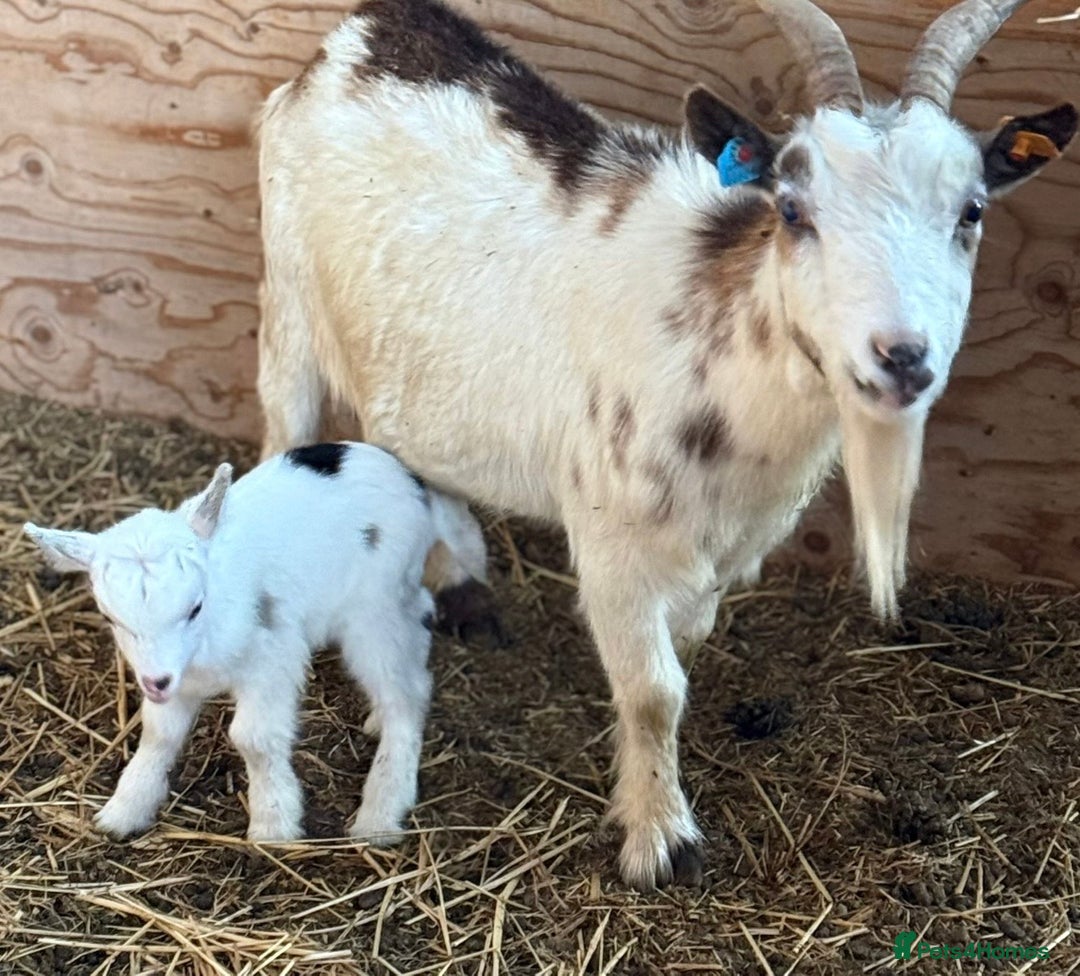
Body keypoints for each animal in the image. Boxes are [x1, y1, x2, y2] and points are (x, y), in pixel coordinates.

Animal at [24, 443, 486, 843]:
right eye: (110, 617)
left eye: (196, 607)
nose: (155, 683)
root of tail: (409, 477)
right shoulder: (175, 680)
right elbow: (159, 734)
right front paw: (125, 811)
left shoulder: (272, 659)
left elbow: (254, 738)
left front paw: (273, 825)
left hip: (374, 608)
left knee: (407, 690)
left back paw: (380, 815)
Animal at [255, 0, 1076, 888]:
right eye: (793, 209)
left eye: (972, 211)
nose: (902, 358)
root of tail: (358, 34)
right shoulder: (610, 536)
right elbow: (654, 690)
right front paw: (659, 841)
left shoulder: (724, 546)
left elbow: (687, 644)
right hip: (289, 306)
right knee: (284, 432)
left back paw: (458, 588)